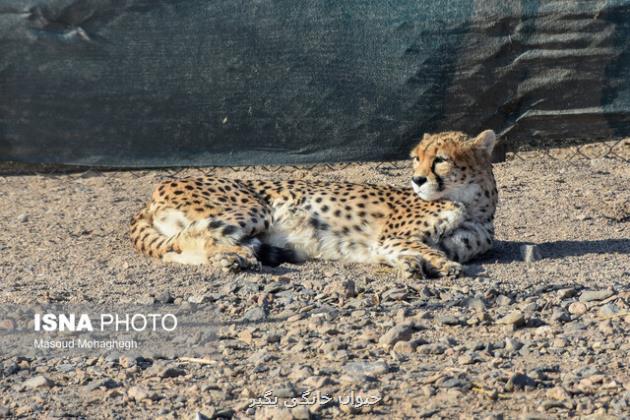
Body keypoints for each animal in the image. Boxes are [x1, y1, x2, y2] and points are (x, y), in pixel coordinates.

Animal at [131, 130, 502, 278]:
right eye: (416, 158)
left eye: (440, 160)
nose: (418, 179)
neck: (471, 206)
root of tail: (159, 186)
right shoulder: (390, 237)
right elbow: (426, 248)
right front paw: (437, 264)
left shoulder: (387, 245)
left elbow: (415, 252)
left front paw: (412, 265)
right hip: (254, 208)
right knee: (193, 237)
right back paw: (232, 257)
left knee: (179, 248)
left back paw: (233, 257)